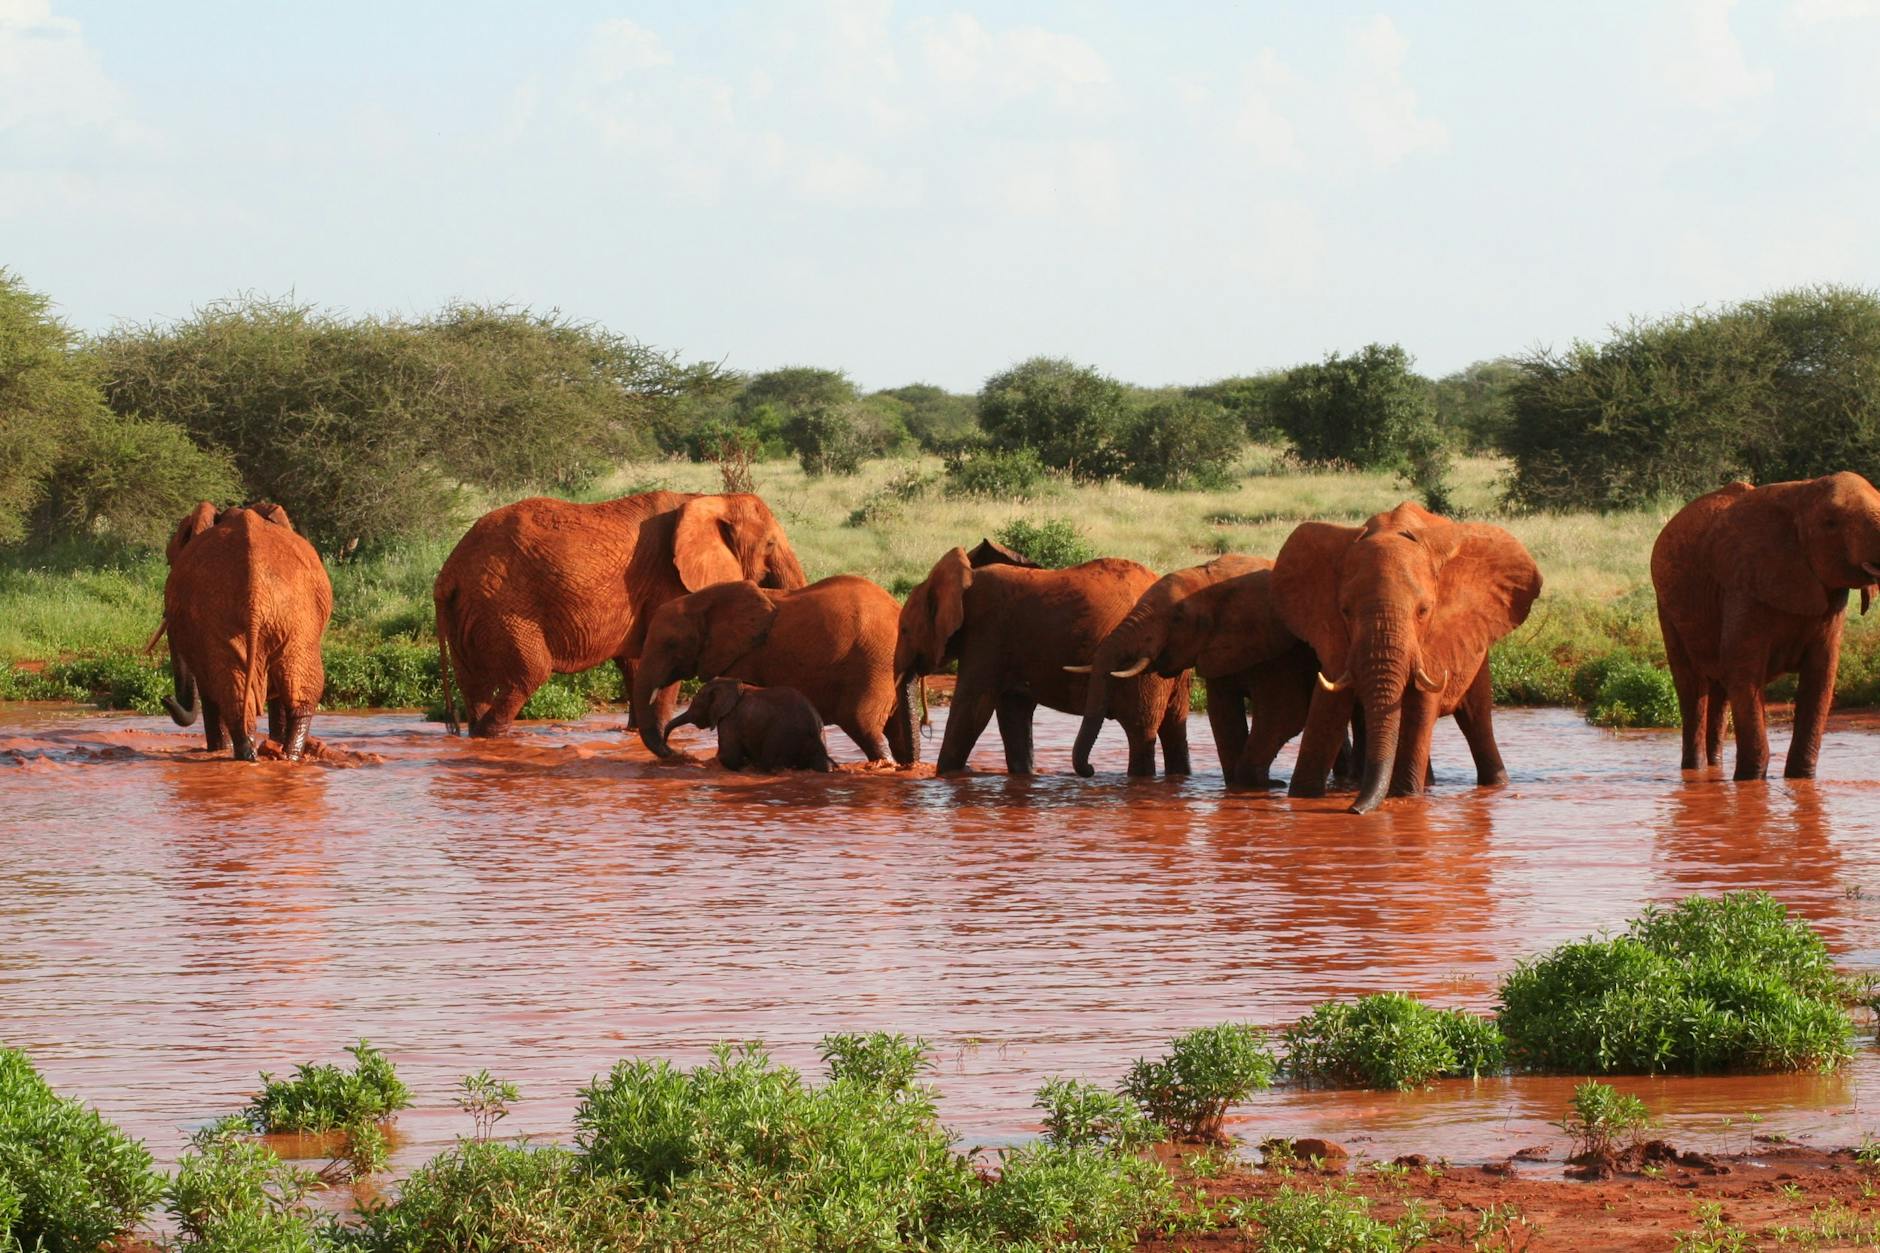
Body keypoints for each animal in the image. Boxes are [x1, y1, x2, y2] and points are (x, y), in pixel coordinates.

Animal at [160, 502, 333, 762]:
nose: (165, 698)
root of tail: (256, 596)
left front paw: (218, 749)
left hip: (288, 620)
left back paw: (262, 755)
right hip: (286, 620)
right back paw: (272, 756)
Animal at [434, 492, 806, 738]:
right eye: (770, 544)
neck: (710, 499)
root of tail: (448, 573)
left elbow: (636, 663)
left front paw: (636, 732)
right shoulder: (669, 580)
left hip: (469, 610)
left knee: (473, 680)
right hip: (502, 606)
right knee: (531, 672)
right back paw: (494, 735)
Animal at [894, 546, 1185, 775]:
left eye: (905, 630)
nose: (908, 767)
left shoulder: (987, 634)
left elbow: (973, 710)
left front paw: (946, 774)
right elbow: (1013, 713)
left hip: (1144, 667)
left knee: (1140, 731)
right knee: (1173, 728)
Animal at [1273, 501, 1542, 814]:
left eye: (1423, 611)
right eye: (1345, 611)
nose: (1354, 810)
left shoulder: (1436, 641)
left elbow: (1422, 705)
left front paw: (1404, 797)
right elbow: (1327, 705)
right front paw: (1301, 796)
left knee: (1476, 720)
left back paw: (1494, 784)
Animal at [1651, 472, 1880, 780]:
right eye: (1830, 523)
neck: (1803, 494)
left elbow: (1821, 677)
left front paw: (1800, 780)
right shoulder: (1743, 586)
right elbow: (1744, 673)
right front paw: (1750, 782)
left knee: (1720, 689)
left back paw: (1715, 767)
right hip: (1668, 608)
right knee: (1692, 685)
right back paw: (1696, 772)